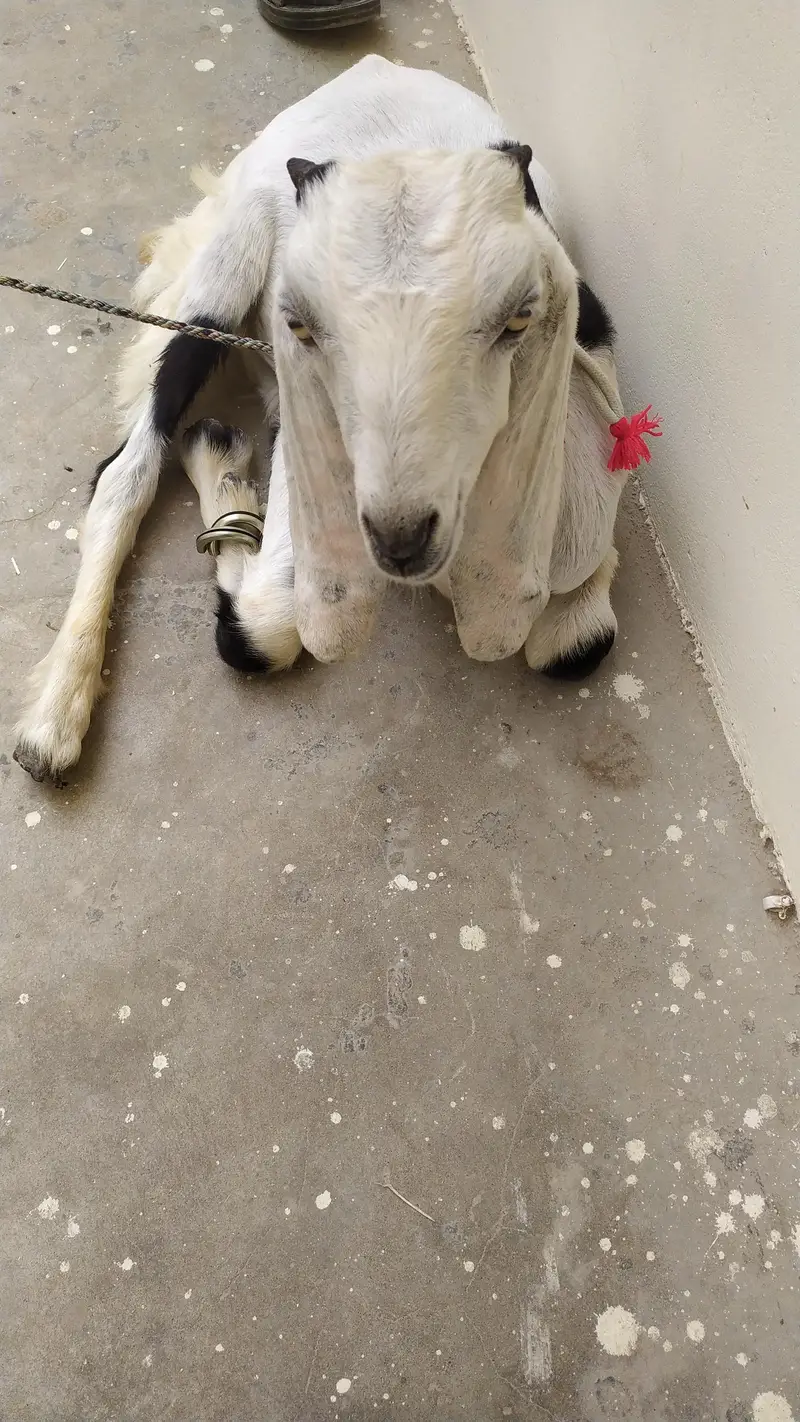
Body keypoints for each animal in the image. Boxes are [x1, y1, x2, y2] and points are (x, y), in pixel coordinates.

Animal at [14, 54, 630, 785]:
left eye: (516, 320)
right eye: (306, 324)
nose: (399, 533)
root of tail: (372, 69)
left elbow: (580, 641)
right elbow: (259, 632)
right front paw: (222, 467)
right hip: (227, 267)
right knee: (125, 470)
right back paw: (54, 720)